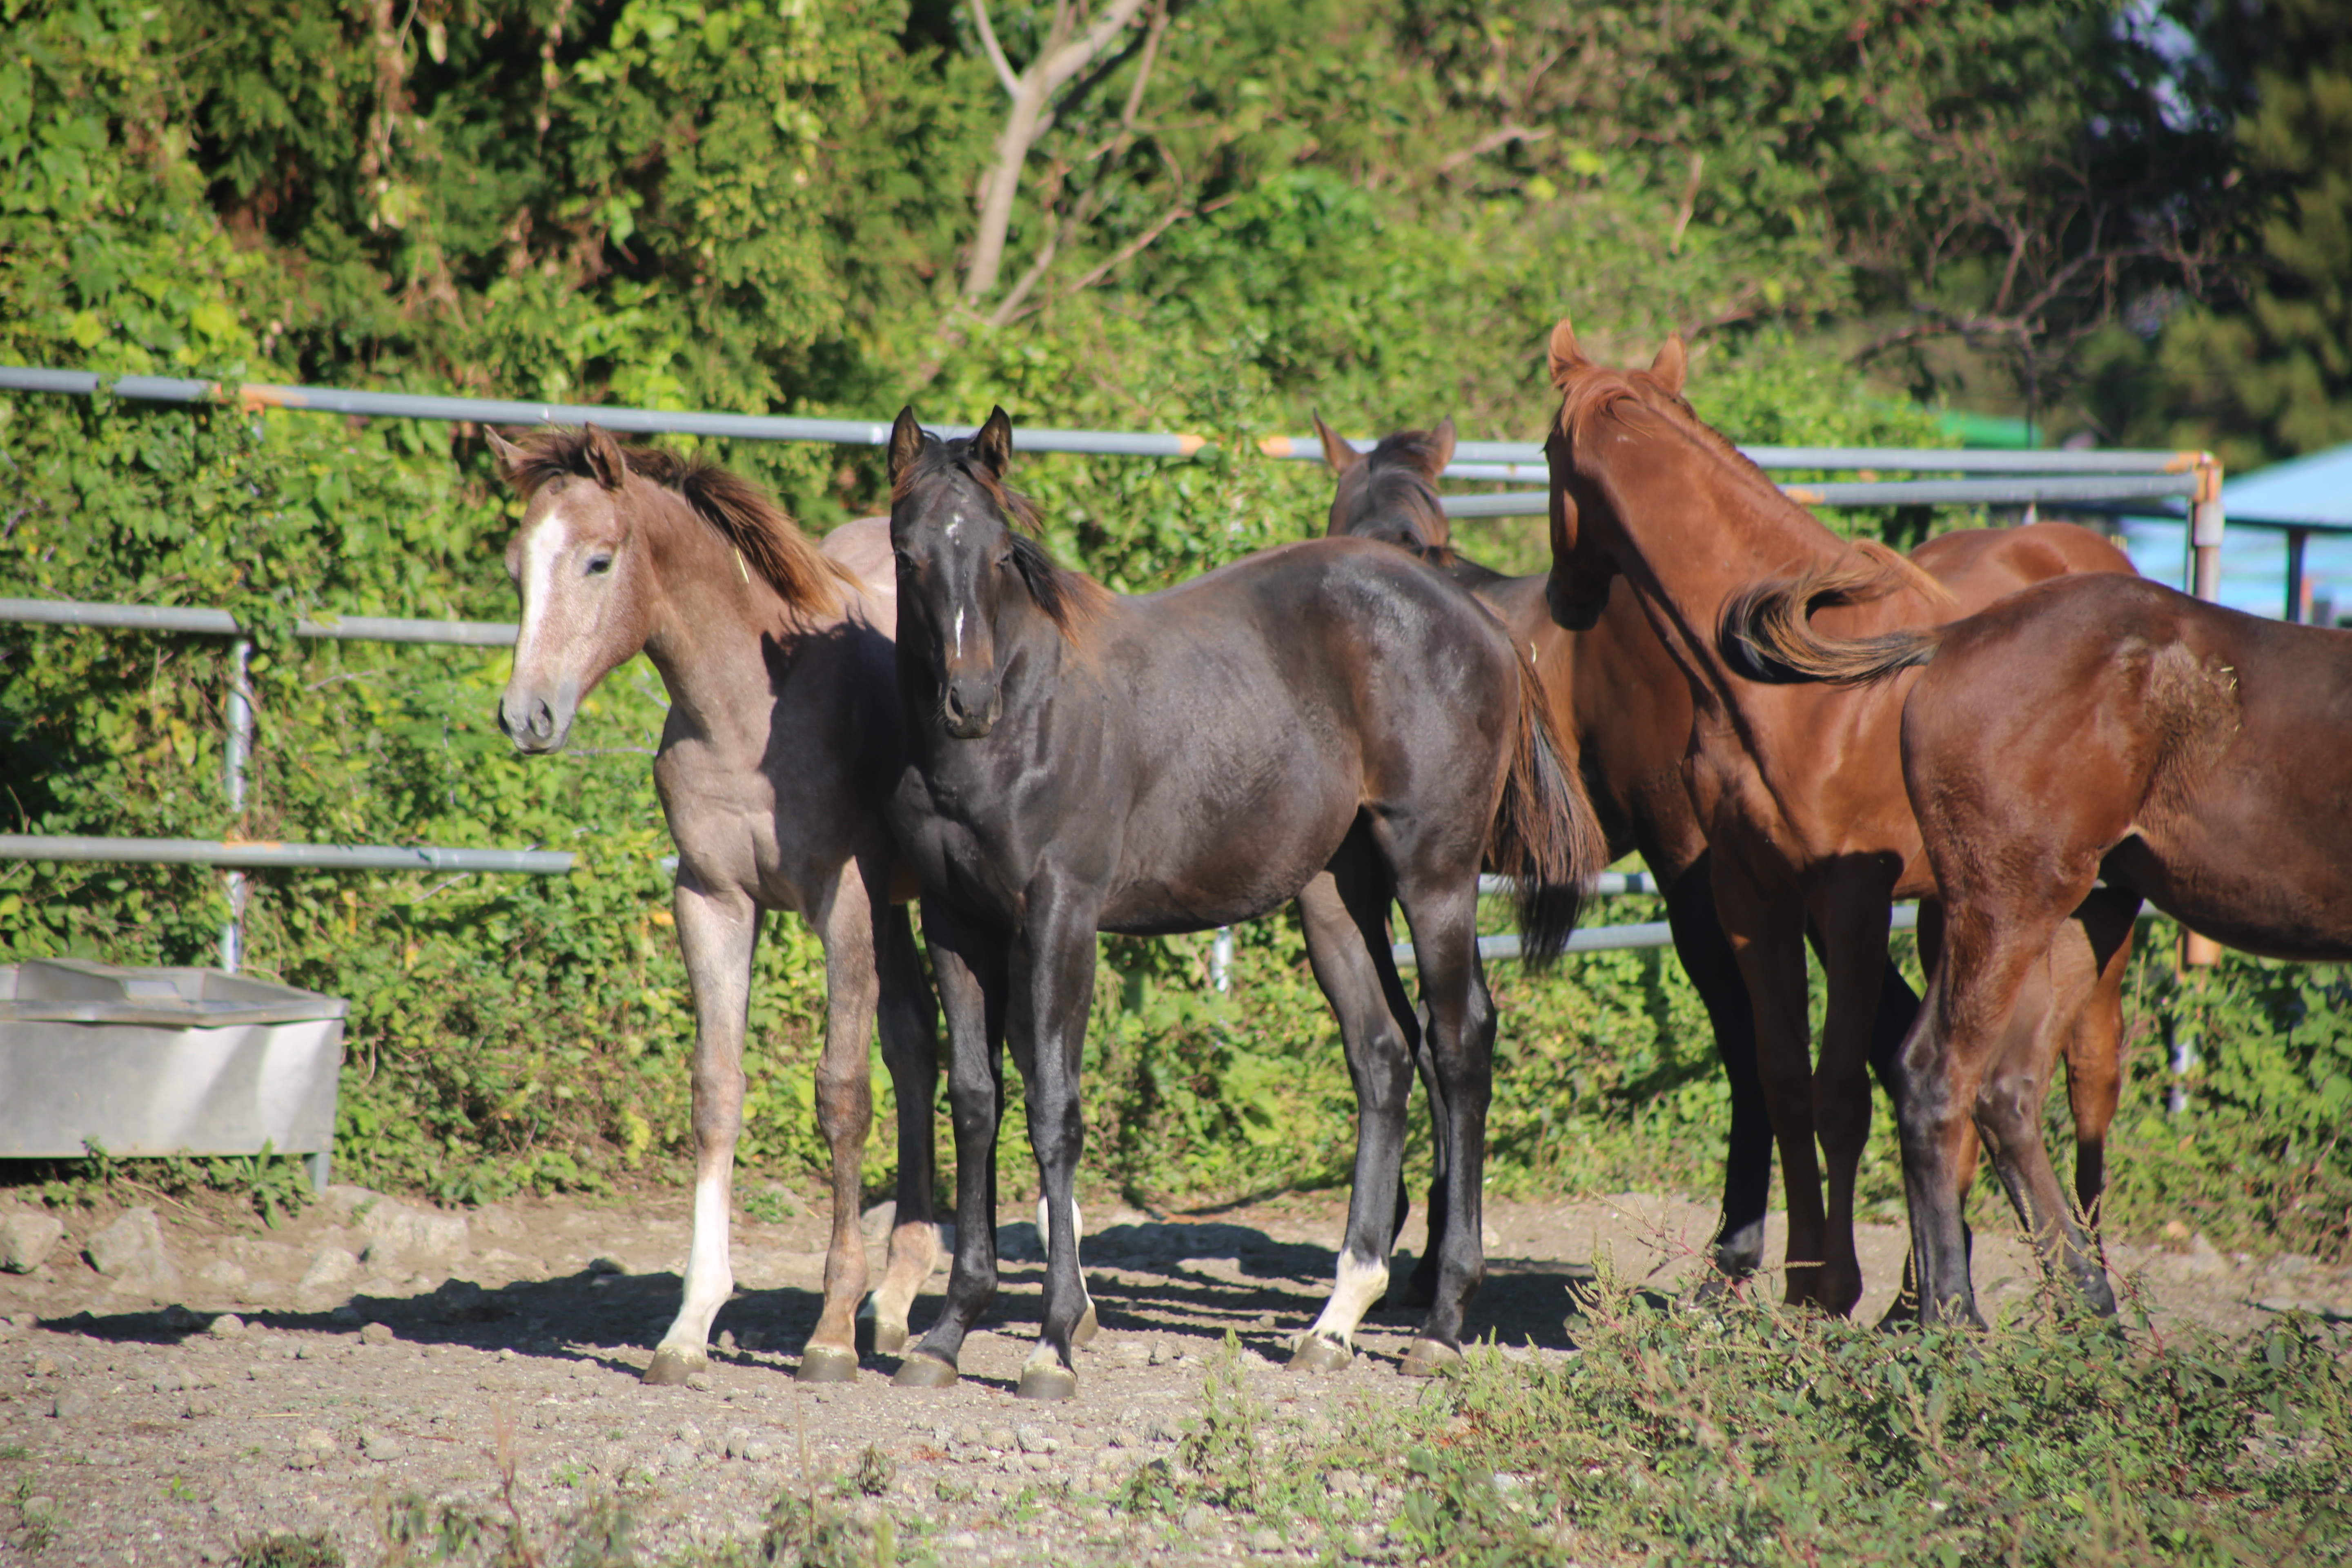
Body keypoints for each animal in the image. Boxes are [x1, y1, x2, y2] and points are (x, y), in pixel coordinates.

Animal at [489, 430, 945, 1382]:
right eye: (516, 567)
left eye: (598, 560)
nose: (526, 715)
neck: (751, 707)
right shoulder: (712, 898)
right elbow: (717, 1090)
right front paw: (691, 1323)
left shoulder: (843, 900)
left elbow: (842, 1094)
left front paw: (829, 1331)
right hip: (896, 913)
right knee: (920, 1049)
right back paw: (896, 1297)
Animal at [884, 411, 1618, 1401]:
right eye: (908, 551)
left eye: (1001, 553)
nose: (967, 700)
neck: (1020, 728)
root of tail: (1479, 620)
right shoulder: (956, 925)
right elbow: (973, 1102)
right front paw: (948, 1332)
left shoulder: (1061, 917)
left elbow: (1053, 1108)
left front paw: (1054, 1342)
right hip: (1336, 896)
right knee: (1383, 1052)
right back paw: (1338, 1317)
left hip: (1435, 874)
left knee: (1460, 1042)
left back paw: (1443, 1323)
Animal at [1543, 324, 2154, 1316]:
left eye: (1546, 454)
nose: (1566, 599)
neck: (1791, 680)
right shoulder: (1754, 898)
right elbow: (1786, 1082)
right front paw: (1802, 1286)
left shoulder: (1851, 902)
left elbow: (1840, 1093)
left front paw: (1831, 1287)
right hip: (1964, 915)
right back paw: (1919, 1304)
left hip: (2090, 915)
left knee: (2089, 1081)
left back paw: (2077, 1281)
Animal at [1712, 566, 2352, 1326]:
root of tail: (1952, 639)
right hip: (2012, 902)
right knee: (1936, 1076)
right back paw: (1953, 1318)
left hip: (2079, 911)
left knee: (2007, 1091)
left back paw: (2089, 1310)